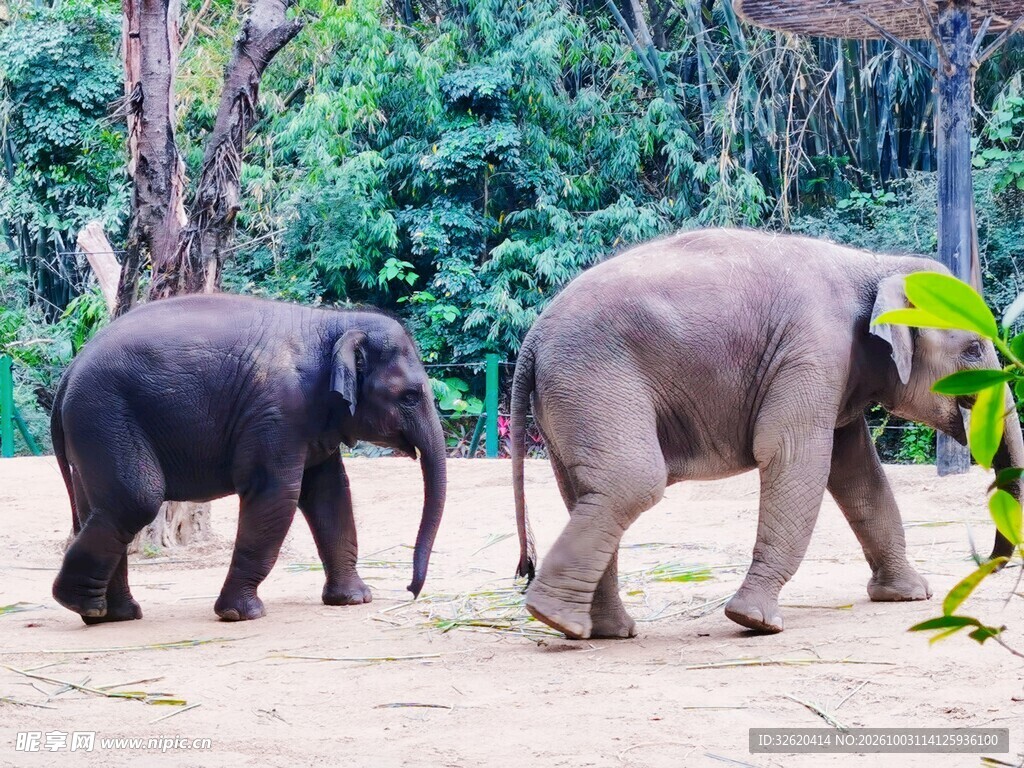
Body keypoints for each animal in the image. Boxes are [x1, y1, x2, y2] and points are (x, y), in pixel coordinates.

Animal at [50, 294, 446, 623]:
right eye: (410, 396)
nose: (410, 590)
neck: (333, 323)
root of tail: (68, 372)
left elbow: (330, 493)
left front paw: (354, 600)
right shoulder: (278, 411)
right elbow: (277, 494)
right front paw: (240, 615)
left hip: (94, 427)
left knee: (100, 506)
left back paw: (112, 615)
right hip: (103, 415)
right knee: (135, 500)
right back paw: (80, 604)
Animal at [510, 228, 1021, 640]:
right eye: (974, 349)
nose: (989, 563)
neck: (876, 265)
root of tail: (532, 338)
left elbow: (856, 472)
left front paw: (908, 596)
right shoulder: (813, 351)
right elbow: (795, 456)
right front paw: (756, 622)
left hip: (573, 397)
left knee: (588, 491)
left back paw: (602, 631)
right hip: (595, 381)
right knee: (632, 482)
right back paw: (556, 618)